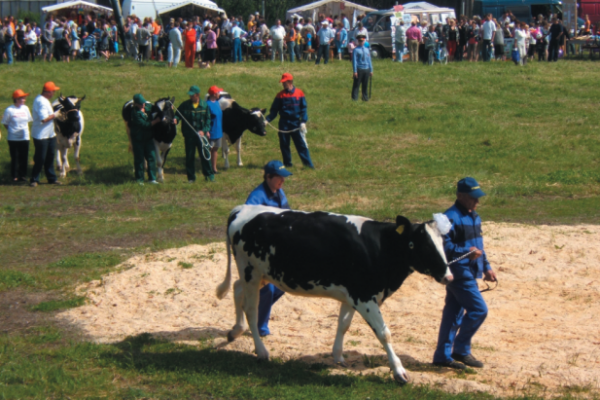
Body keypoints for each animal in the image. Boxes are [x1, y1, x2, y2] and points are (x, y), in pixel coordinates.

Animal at [217, 206, 454, 384]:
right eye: (422, 245)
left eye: (443, 243)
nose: (449, 276)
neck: (379, 247)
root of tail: (242, 209)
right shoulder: (365, 296)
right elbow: (384, 333)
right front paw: (399, 372)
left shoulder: (352, 295)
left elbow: (343, 324)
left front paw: (338, 356)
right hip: (251, 271)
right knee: (251, 310)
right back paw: (261, 351)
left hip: (259, 275)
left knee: (236, 290)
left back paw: (235, 331)